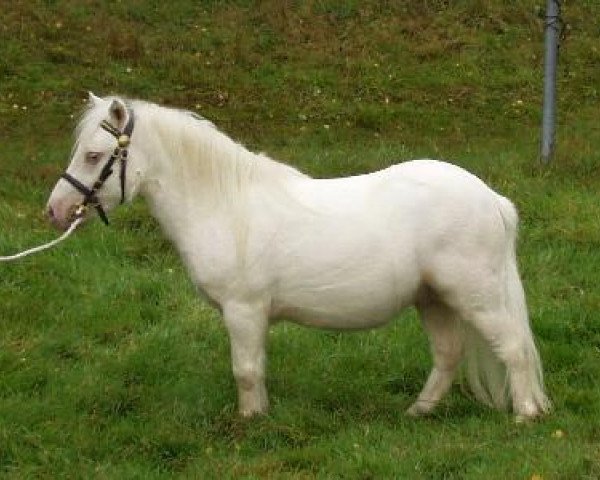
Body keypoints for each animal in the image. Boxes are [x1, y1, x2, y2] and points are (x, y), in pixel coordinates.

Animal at [49, 94, 552, 420]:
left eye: (93, 155)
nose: (54, 211)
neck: (226, 205)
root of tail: (491, 198)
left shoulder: (243, 311)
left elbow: (246, 372)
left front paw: (251, 423)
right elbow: (256, 371)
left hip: (475, 295)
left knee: (512, 347)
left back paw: (526, 415)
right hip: (433, 298)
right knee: (448, 355)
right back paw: (417, 412)